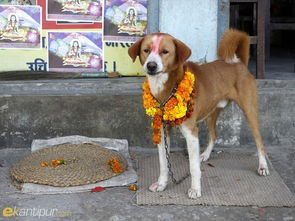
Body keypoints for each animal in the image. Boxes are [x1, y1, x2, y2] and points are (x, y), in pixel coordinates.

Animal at [128, 29, 270, 199]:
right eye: (146, 50)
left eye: (165, 51)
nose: (151, 66)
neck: (166, 87)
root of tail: (238, 62)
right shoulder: (162, 131)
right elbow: (163, 163)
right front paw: (162, 184)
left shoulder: (191, 132)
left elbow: (193, 167)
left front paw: (195, 189)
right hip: (211, 112)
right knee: (214, 134)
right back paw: (205, 155)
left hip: (249, 110)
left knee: (259, 141)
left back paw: (263, 166)